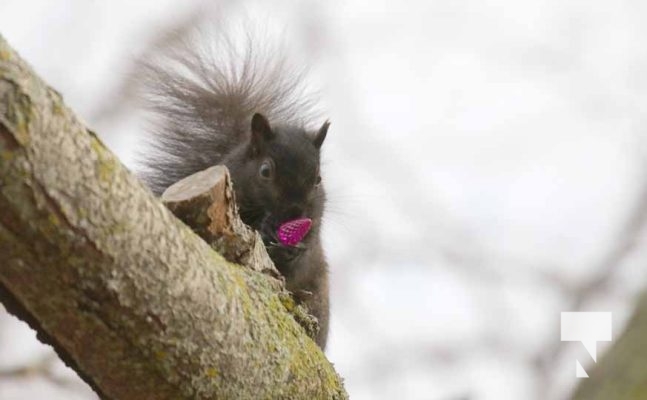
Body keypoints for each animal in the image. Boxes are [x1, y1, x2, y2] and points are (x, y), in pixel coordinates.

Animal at [137, 30, 331, 349]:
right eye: (265, 171)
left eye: (318, 179)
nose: (293, 211)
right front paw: (265, 231)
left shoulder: (316, 221)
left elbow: (304, 254)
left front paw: (293, 247)